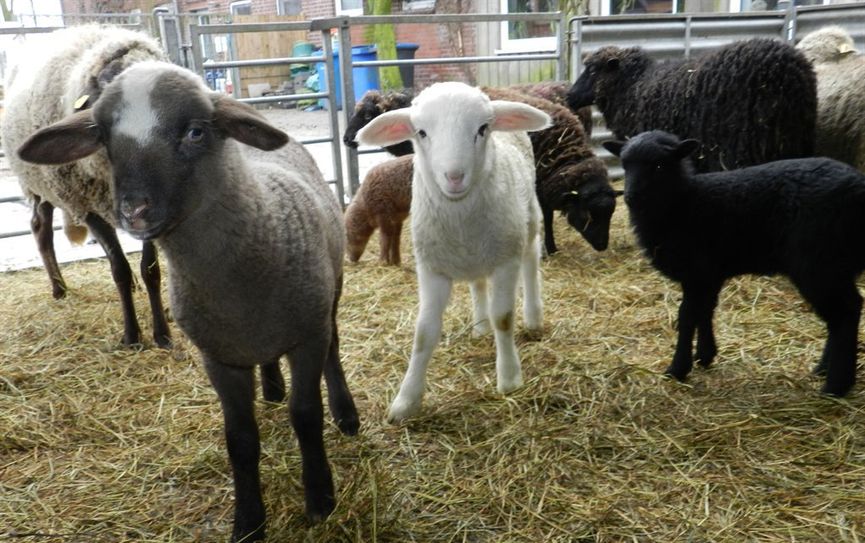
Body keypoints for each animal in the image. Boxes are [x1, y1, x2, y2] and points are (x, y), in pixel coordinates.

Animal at [2, 25, 170, 346]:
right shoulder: (84, 205)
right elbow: (119, 269)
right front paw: (132, 335)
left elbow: (150, 269)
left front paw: (162, 334)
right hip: (39, 185)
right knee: (40, 229)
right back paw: (59, 289)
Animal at [356, 83, 548, 424]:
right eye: (421, 132)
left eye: (482, 129)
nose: (454, 176)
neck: (460, 217)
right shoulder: (431, 268)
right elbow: (424, 332)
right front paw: (406, 401)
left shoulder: (506, 260)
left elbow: (504, 318)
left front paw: (509, 378)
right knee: (478, 283)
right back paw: (480, 326)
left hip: (526, 222)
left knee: (530, 261)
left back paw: (533, 318)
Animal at [604, 130, 864, 398]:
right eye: (625, 165)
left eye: (658, 165)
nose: (631, 197)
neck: (685, 203)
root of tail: (858, 188)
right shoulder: (709, 274)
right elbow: (705, 310)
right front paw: (705, 356)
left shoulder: (696, 272)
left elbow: (687, 317)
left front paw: (678, 369)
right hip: (836, 265)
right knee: (846, 311)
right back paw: (824, 369)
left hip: (817, 262)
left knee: (845, 311)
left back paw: (835, 385)